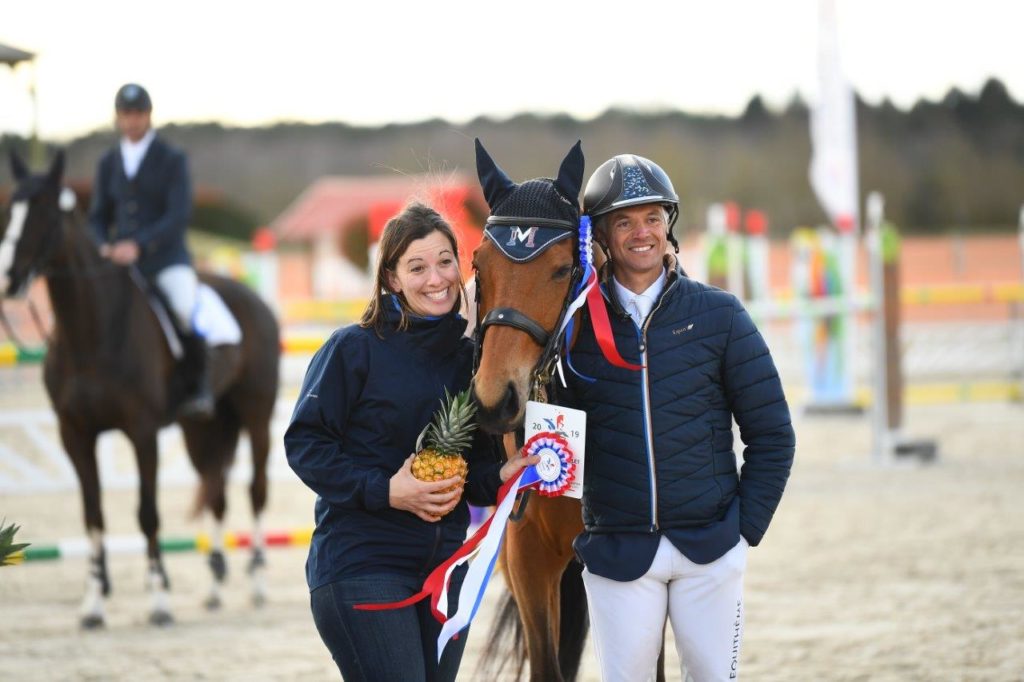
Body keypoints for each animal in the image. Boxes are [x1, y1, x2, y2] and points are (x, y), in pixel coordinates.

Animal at [1, 152, 280, 626]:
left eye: (44, 214)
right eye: (10, 212)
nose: (8, 279)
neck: (91, 333)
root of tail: (253, 298)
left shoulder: (142, 430)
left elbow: (147, 513)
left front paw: (160, 600)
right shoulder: (74, 433)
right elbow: (92, 513)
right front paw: (93, 603)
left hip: (256, 416)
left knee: (255, 491)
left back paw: (259, 584)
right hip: (201, 428)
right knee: (217, 495)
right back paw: (214, 589)